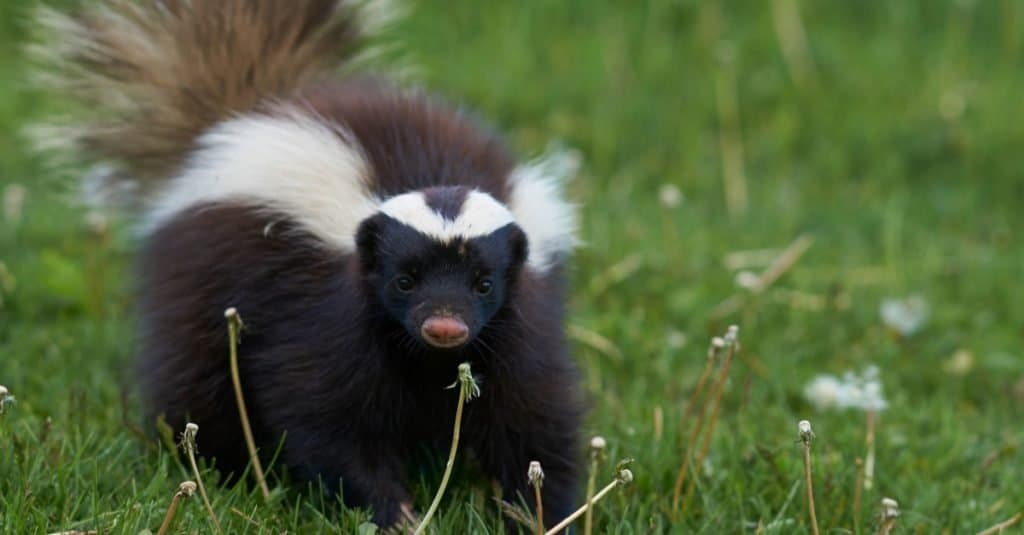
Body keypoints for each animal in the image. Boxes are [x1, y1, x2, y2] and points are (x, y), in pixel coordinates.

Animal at [32, 0, 585, 524]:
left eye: (484, 284)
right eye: (404, 281)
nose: (445, 326)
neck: (426, 359)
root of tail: (237, 121)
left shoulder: (517, 326)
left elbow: (534, 416)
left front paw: (542, 514)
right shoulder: (327, 318)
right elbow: (325, 414)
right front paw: (393, 512)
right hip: (200, 283)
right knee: (199, 383)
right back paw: (219, 470)